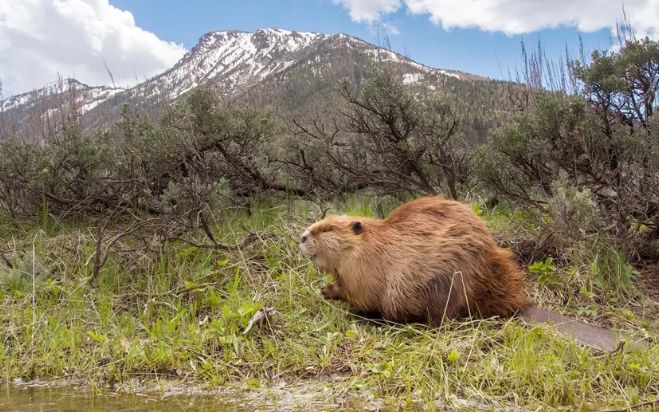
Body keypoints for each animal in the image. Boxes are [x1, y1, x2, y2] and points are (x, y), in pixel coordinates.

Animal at [300, 196, 628, 350]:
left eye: (326, 229)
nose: (302, 237)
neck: (373, 244)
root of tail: (519, 305)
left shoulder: (363, 271)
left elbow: (359, 295)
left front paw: (336, 298)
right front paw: (324, 289)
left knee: (441, 320)